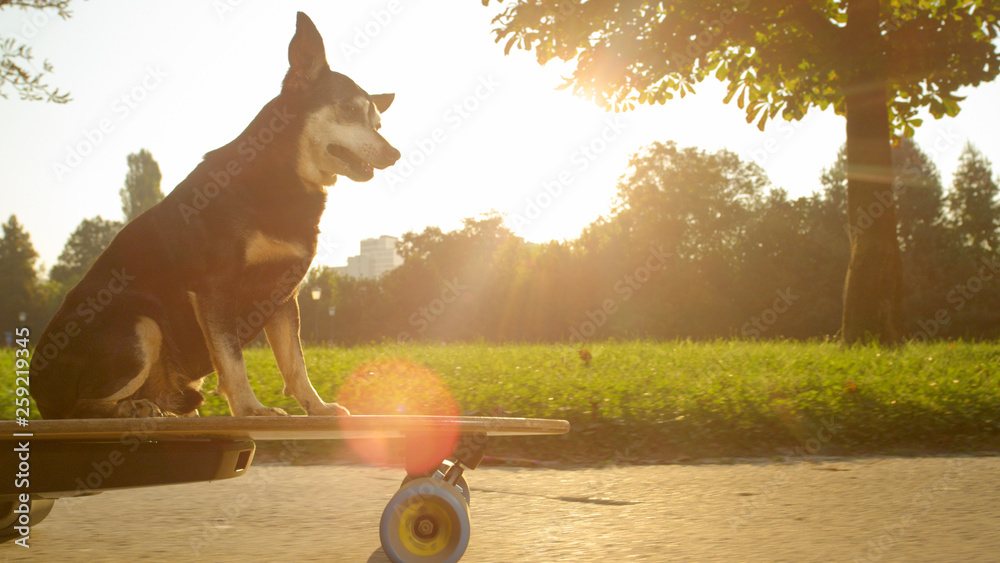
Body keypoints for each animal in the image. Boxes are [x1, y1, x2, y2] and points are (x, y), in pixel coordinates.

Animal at [26, 12, 398, 418]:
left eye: (378, 125)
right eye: (350, 110)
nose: (394, 154)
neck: (282, 182)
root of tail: (37, 390)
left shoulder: (284, 296)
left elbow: (294, 363)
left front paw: (315, 407)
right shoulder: (215, 289)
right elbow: (232, 360)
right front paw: (251, 409)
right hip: (141, 326)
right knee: (79, 406)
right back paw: (131, 409)